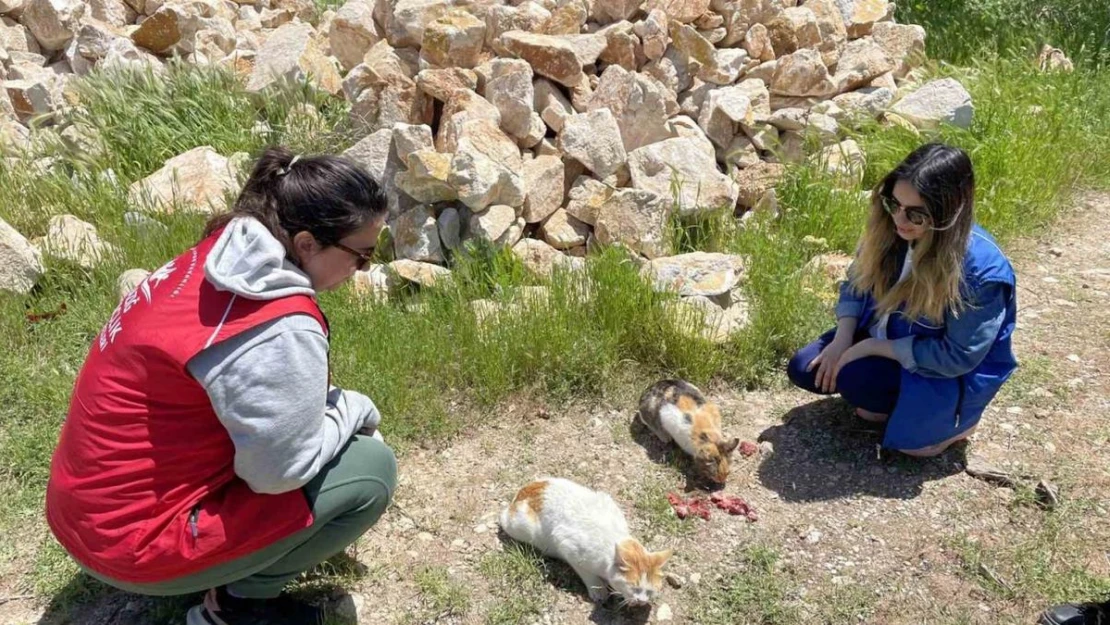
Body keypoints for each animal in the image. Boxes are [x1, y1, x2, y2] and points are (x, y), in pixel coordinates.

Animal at [499, 479, 670, 608]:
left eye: (650, 591)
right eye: (634, 588)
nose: (642, 601)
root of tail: (525, 489)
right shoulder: (567, 545)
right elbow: (588, 574)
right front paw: (599, 590)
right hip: (521, 527)